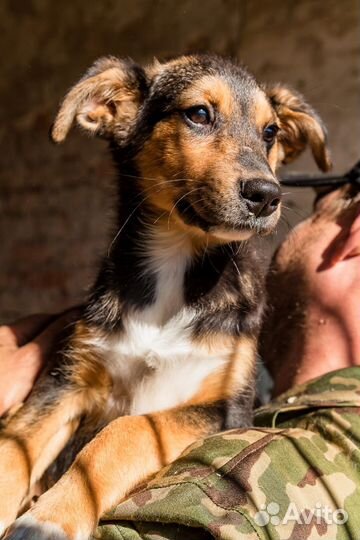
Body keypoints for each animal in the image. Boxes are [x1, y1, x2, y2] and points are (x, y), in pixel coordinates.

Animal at [0, 54, 332, 540]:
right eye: (199, 114)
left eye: (270, 132)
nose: (267, 195)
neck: (176, 263)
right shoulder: (64, 382)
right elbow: (13, 448)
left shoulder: (226, 410)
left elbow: (129, 429)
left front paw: (48, 519)